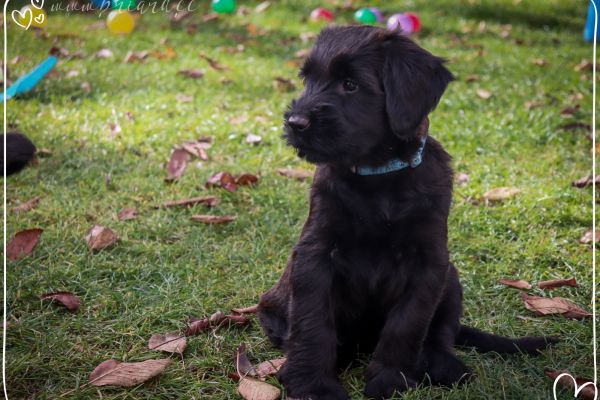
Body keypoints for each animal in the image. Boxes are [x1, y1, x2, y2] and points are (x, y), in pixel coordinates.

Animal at [258, 25, 556, 400]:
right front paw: (313, 385)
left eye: (350, 84)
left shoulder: (429, 263)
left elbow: (408, 324)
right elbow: (313, 324)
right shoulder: (316, 255)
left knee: (440, 335)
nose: (296, 122)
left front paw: (390, 380)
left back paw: (444, 366)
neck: (380, 178)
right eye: (308, 79)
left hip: (451, 279)